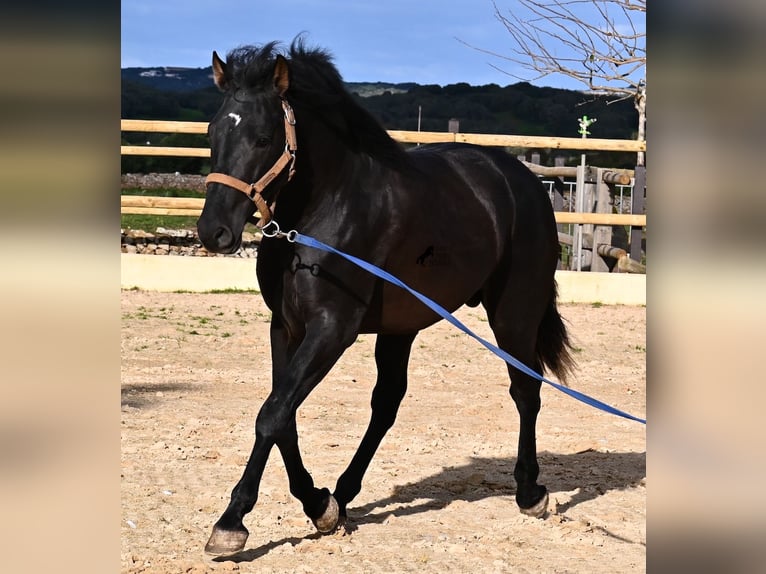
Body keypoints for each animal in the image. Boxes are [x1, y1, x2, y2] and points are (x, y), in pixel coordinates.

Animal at [198, 37, 576, 560]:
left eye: (262, 138)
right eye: (212, 131)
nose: (212, 232)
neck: (323, 211)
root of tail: (523, 180)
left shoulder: (333, 328)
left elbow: (272, 414)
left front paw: (232, 522)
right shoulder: (286, 326)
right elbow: (282, 414)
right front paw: (319, 505)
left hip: (513, 313)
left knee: (526, 388)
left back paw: (529, 492)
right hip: (403, 327)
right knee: (387, 403)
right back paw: (344, 493)